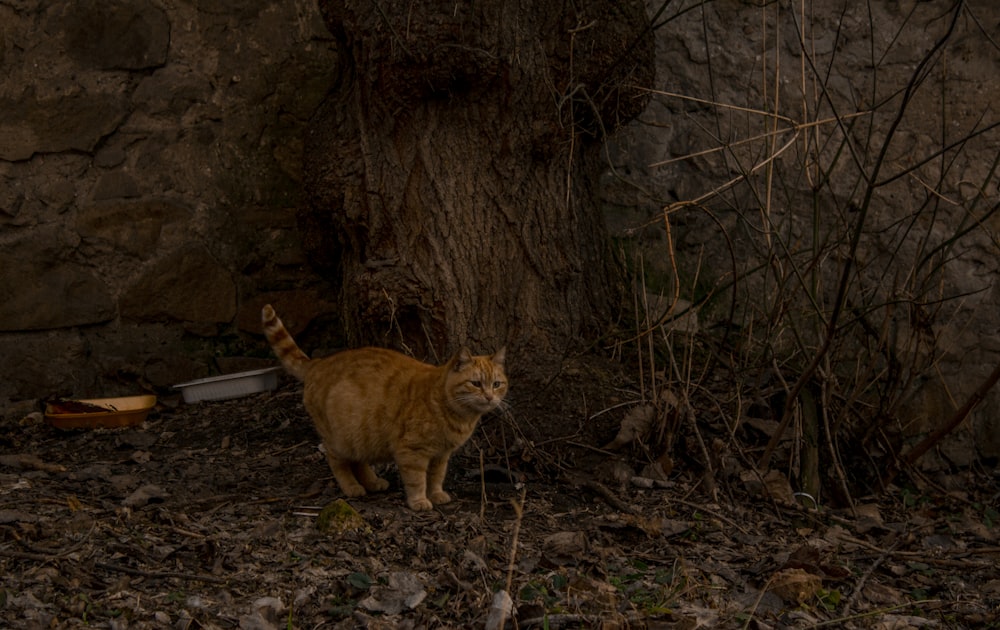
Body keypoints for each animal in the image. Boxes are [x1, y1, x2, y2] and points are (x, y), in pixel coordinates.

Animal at [262, 306, 508, 512]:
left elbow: (437, 477)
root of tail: (319, 362)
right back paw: (351, 487)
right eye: (476, 383)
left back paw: (372, 482)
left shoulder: (441, 455)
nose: (489, 397)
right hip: (340, 440)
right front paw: (419, 501)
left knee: (359, 461)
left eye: (497, 384)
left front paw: (437, 494)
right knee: (337, 461)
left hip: (359, 437)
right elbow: (417, 480)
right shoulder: (412, 452)